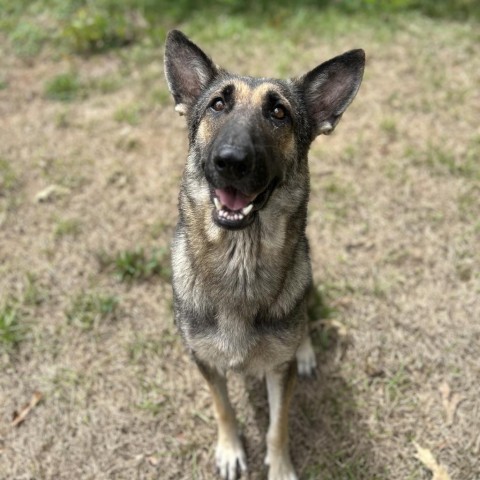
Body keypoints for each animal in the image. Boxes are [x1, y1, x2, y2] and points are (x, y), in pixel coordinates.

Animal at [163, 31, 362, 480]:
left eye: (278, 112)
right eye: (218, 104)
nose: (231, 161)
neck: (240, 264)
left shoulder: (278, 373)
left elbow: (278, 425)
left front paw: (281, 466)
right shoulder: (203, 362)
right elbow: (223, 407)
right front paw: (230, 449)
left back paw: (305, 351)